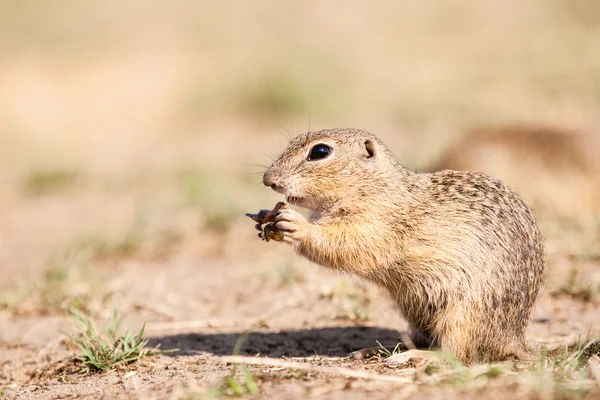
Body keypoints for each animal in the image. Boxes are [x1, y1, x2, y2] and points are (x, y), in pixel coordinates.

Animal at [251, 129, 548, 366]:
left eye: (320, 152)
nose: (268, 179)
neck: (375, 186)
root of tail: (514, 339)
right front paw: (266, 214)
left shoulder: (375, 224)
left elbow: (345, 244)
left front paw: (296, 224)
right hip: (417, 311)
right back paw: (376, 350)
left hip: (464, 315)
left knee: (458, 355)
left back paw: (410, 356)